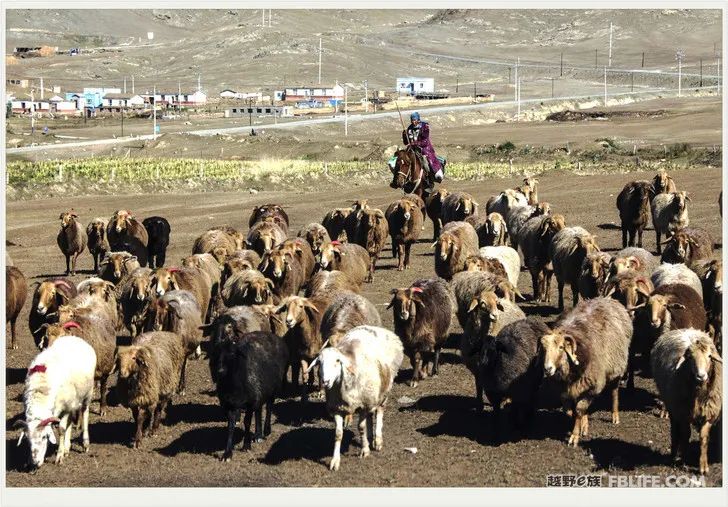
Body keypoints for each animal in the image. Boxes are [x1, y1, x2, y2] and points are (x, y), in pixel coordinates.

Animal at [16, 336, 96, 470]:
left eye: (44, 437)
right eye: (27, 440)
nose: (35, 463)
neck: (41, 391)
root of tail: (75, 338)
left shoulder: (66, 408)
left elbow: (62, 429)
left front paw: (59, 456)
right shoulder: (66, 406)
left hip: (87, 393)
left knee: (85, 412)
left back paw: (85, 443)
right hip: (73, 401)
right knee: (71, 420)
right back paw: (67, 447)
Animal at [208, 332, 288, 462]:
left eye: (232, 353)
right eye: (217, 353)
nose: (220, 371)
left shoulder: (250, 402)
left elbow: (247, 422)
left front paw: (246, 445)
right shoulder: (229, 405)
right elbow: (230, 426)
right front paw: (227, 453)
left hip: (273, 388)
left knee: (269, 407)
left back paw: (266, 430)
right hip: (259, 392)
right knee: (259, 410)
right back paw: (258, 434)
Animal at [318, 326, 404, 472]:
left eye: (337, 361)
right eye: (320, 362)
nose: (325, 381)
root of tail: (380, 329)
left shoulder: (363, 405)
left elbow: (361, 427)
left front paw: (365, 450)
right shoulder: (337, 408)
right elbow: (338, 434)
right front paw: (335, 461)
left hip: (383, 391)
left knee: (379, 411)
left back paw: (377, 440)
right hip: (370, 396)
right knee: (370, 414)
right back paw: (369, 437)